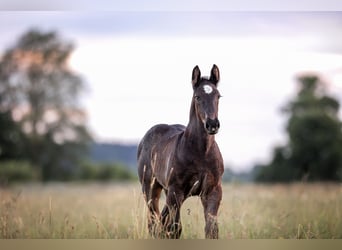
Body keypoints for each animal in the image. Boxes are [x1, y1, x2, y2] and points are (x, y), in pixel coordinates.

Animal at [137, 64, 224, 238]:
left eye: (218, 96)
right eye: (197, 97)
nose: (212, 124)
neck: (201, 153)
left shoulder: (213, 191)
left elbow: (211, 229)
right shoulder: (176, 191)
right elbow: (175, 229)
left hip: (167, 191)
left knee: (161, 220)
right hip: (150, 188)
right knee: (154, 221)